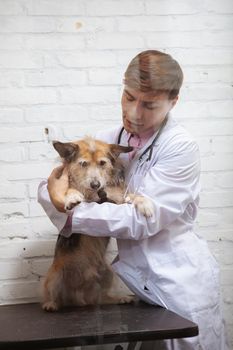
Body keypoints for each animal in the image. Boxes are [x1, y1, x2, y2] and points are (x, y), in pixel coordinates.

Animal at [41, 137, 154, 312]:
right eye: (83, 164)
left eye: (102, 163)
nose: (96, 184)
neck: (95, 194)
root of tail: (79, 298)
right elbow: (70, 190)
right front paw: (71, 197)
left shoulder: (116, 199)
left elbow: (130, 195)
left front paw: (144, 202)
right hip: (54, 275)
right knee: (54, 296)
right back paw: (51, 304)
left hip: (107, 273)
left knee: (100, 298)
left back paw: (119, 298)